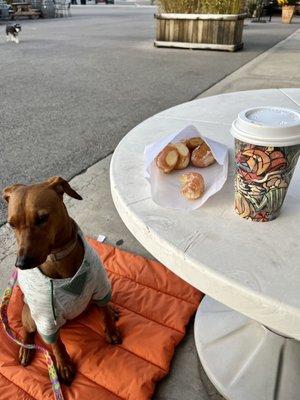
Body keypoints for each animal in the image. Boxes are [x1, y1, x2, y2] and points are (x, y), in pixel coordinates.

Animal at [2, 177, 122, 384]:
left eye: (42, 218)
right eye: (11, 224)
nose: (21, 264)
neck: (58, 256)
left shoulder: (100, 286)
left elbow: (104, 312)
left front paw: (111, 330)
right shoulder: (46, 319)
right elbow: (56, 344)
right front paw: (64, 364)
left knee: (99, 305)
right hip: (31, 315)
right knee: (28, 330)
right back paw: (26, 348)